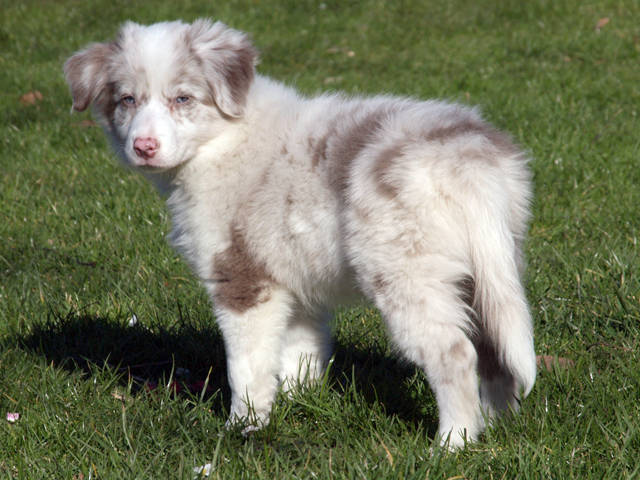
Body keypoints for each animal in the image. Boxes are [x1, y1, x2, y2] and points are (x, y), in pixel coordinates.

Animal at [63, 17, 536, 446]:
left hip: (408, 275)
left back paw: (454, 442)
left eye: (182, 98)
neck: (224, 140)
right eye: (127, 99)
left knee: (455, 353)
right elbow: (301, 352)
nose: (143, 146)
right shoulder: (295, 279)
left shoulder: (243, 281)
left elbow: (246, 365)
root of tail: (469, 160)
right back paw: (494, 427)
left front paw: (243, 427)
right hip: (488, 267)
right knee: (495, 349)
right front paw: (298, 405)